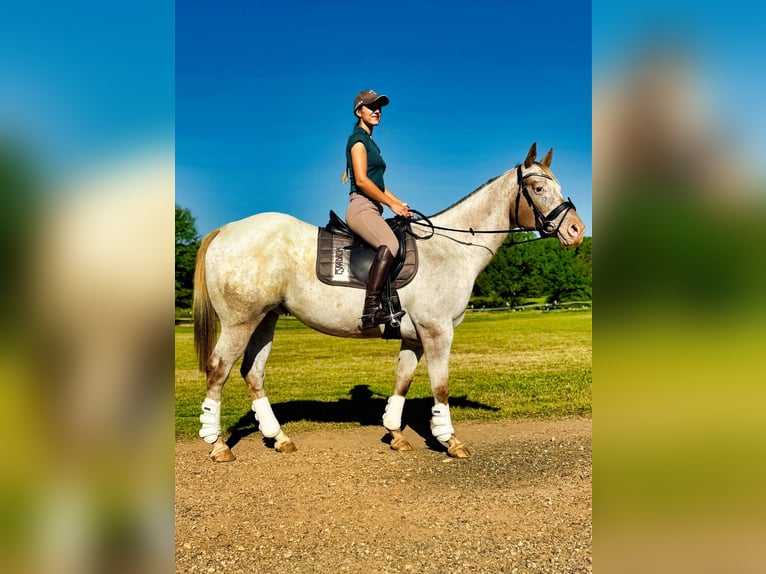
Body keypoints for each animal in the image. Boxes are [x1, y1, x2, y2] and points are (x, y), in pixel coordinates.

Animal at [195, 144, 584, 464]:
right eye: (539, 189)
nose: (577, 231)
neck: (451, 249)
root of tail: (225, 230)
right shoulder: (437, 332)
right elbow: (440, 387)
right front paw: (449, 440)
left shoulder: (414, 336)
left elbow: (403, 380)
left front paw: (396, 434)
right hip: (240, 322)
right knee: (219, 371)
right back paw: (217, 444)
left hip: (266, 319)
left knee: (252, 372)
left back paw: (279, 438)